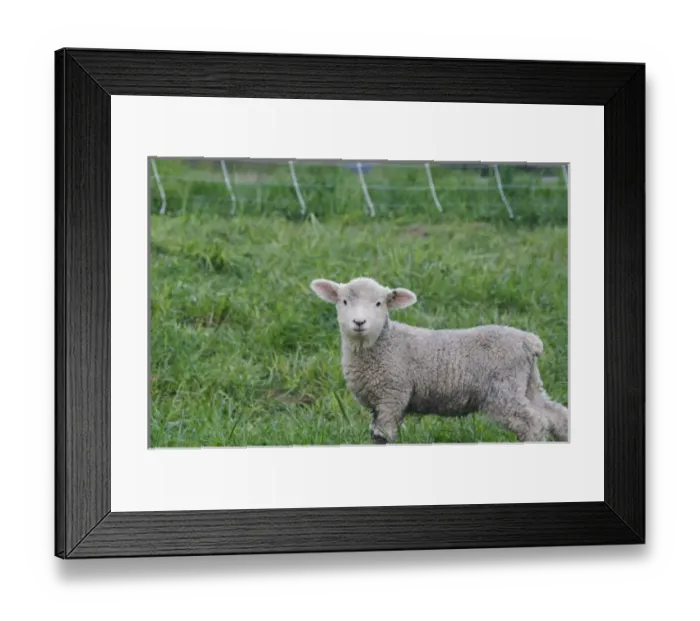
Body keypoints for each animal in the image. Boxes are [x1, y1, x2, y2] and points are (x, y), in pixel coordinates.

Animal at [310, 276, 569, 445]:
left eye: (379, 303)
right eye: (344, 302)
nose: (359, 322)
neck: (382, 345)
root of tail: (528, 341)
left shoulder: (392, 395)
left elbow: (385, 436)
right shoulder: (378, 402)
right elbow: (376, 437)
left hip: (503, 390)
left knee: (534, 423)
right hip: (528, 384)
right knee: (556, 415)